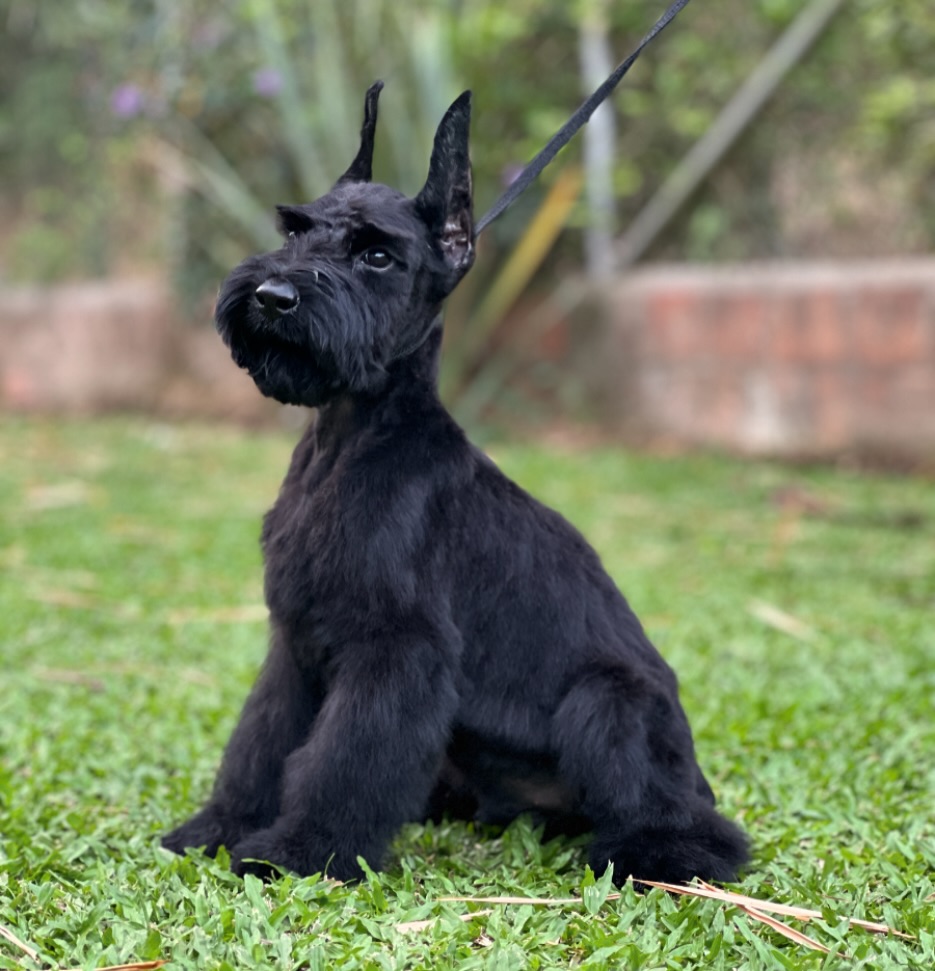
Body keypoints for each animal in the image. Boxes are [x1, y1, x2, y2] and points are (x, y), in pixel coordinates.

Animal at [159, 85, 744, 888]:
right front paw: (217, 827)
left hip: (610, 700)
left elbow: (343, 761)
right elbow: (261, 743)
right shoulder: (295, 643)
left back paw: (646, 854)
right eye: (295, 229)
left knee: (700, 828)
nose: (272, 295)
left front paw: (302, 852)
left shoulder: (398, 650)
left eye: (377, 254)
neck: (349, 441)